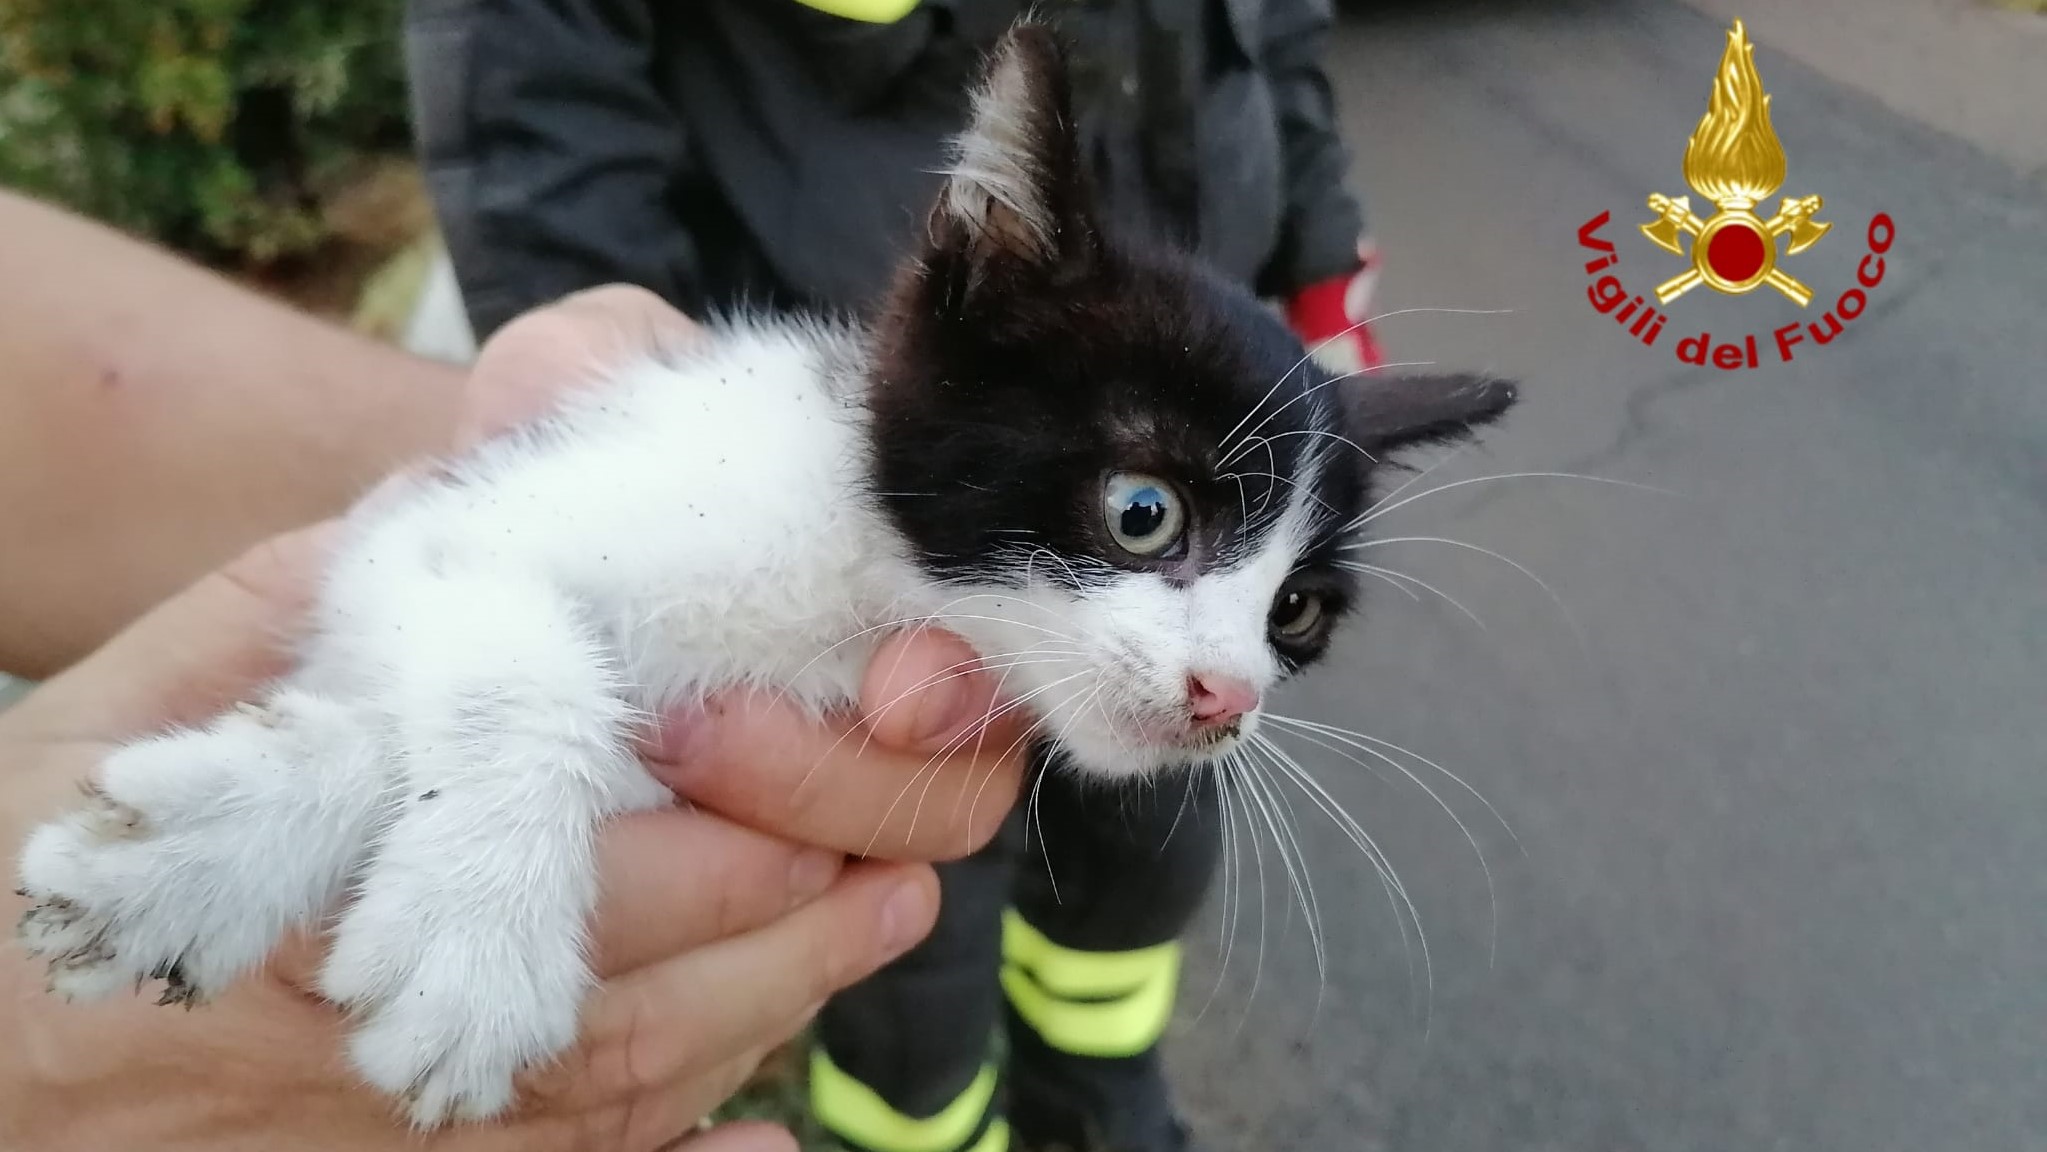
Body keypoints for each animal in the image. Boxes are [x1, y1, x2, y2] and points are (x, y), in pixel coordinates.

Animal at [7, 22, 1514, 1129]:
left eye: (1295, 613)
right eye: (1143, 512)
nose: (1226, 697)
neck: (858, 584)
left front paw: (216, 853)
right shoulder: (429, 517)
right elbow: (503, 649)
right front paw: (451, 930)